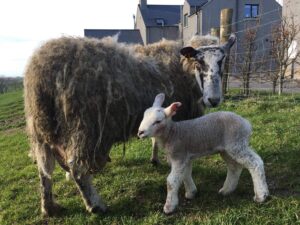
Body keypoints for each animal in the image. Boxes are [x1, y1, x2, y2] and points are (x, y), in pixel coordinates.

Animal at [138, 93, 270, 214]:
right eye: (143, 116)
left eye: (158, 121)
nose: (140, 132)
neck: (172, 133)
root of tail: (247, 124)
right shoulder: (185, 158)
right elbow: (185, 175)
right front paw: (191, 193)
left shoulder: (179, 156)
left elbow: (172, 181)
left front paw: (169, 207)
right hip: (227, 149)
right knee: (234, 167)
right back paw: (226, 190)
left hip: (237, 143)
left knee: (255, 163)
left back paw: (261, 196)